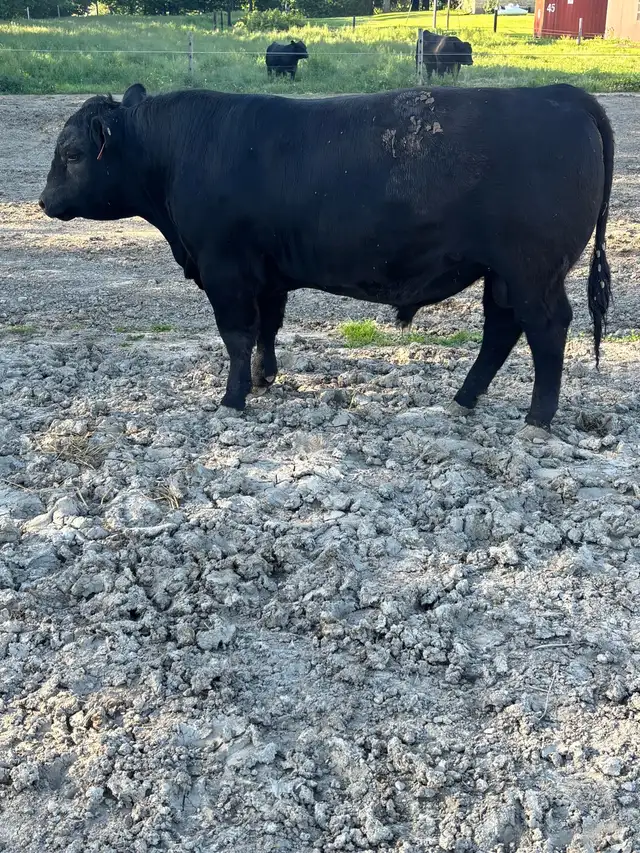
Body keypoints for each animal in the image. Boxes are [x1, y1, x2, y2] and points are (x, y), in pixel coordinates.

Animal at [39, 82, 613, 435]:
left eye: (71, 154)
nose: (44, 202)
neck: (182, 151)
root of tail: (555, 93)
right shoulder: (267, 274)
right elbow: (267, 329)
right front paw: (265, 378)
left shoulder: (226, 269)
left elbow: (236, 335)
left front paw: (232, 399)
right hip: (504, 274)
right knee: (502, 327)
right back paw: (463, 399)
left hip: (532, 270)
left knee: (545, 327)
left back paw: (537, 418)